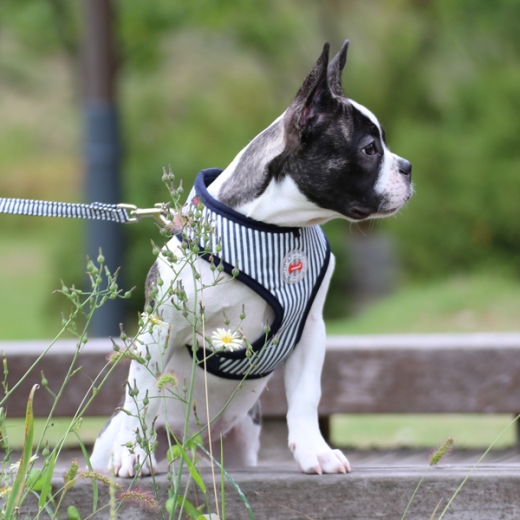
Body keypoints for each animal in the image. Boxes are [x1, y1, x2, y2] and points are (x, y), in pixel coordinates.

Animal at [90, 40, 414, 478]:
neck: (276, 227)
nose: (408, 167)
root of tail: (192, 442)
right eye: (369, 149)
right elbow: (140, 389)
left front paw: (315, 451)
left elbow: (307, 395)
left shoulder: (311, 331)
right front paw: (133, 451)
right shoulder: (159, 330)